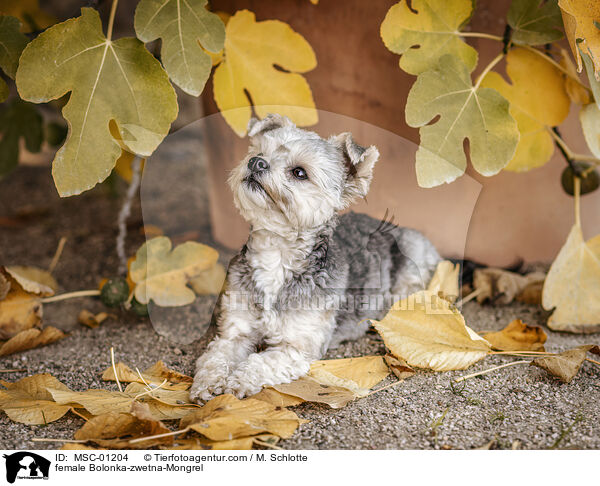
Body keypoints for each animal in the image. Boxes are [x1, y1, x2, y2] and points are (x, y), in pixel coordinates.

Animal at [192, 114, 440, 402]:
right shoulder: (234, 333)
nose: (255, 162)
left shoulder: (297, 347)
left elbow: (259, 362)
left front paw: (238, 381)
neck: (276, 256)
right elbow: (215, 357)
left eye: (299, 172)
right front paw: (208, 382)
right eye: (259, 152)